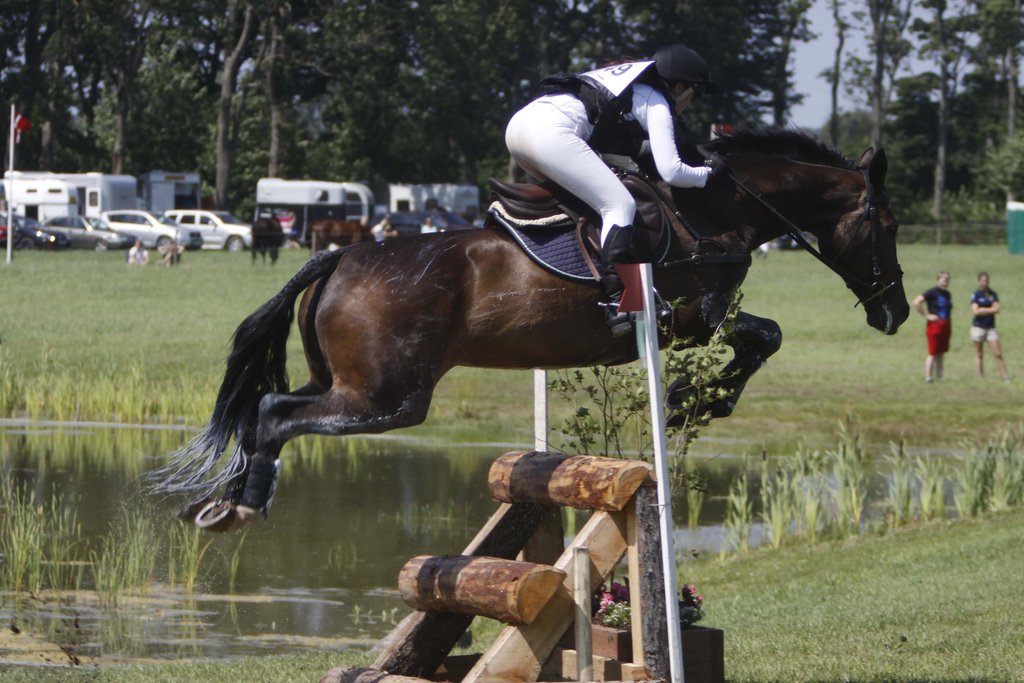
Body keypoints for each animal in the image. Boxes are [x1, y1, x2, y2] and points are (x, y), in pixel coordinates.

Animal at [153, 128, 910, 532]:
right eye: (888, 223)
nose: (896, 313)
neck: (714, 210)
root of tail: (341, 254)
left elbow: (761, 338)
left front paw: (699, 400)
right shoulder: (691, 318)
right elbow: (763, 336)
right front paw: (698, 401)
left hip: (345, 381)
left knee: (266, 405)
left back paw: (225, 501)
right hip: (387, 397)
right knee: (277, 414)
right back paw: (247, 505)